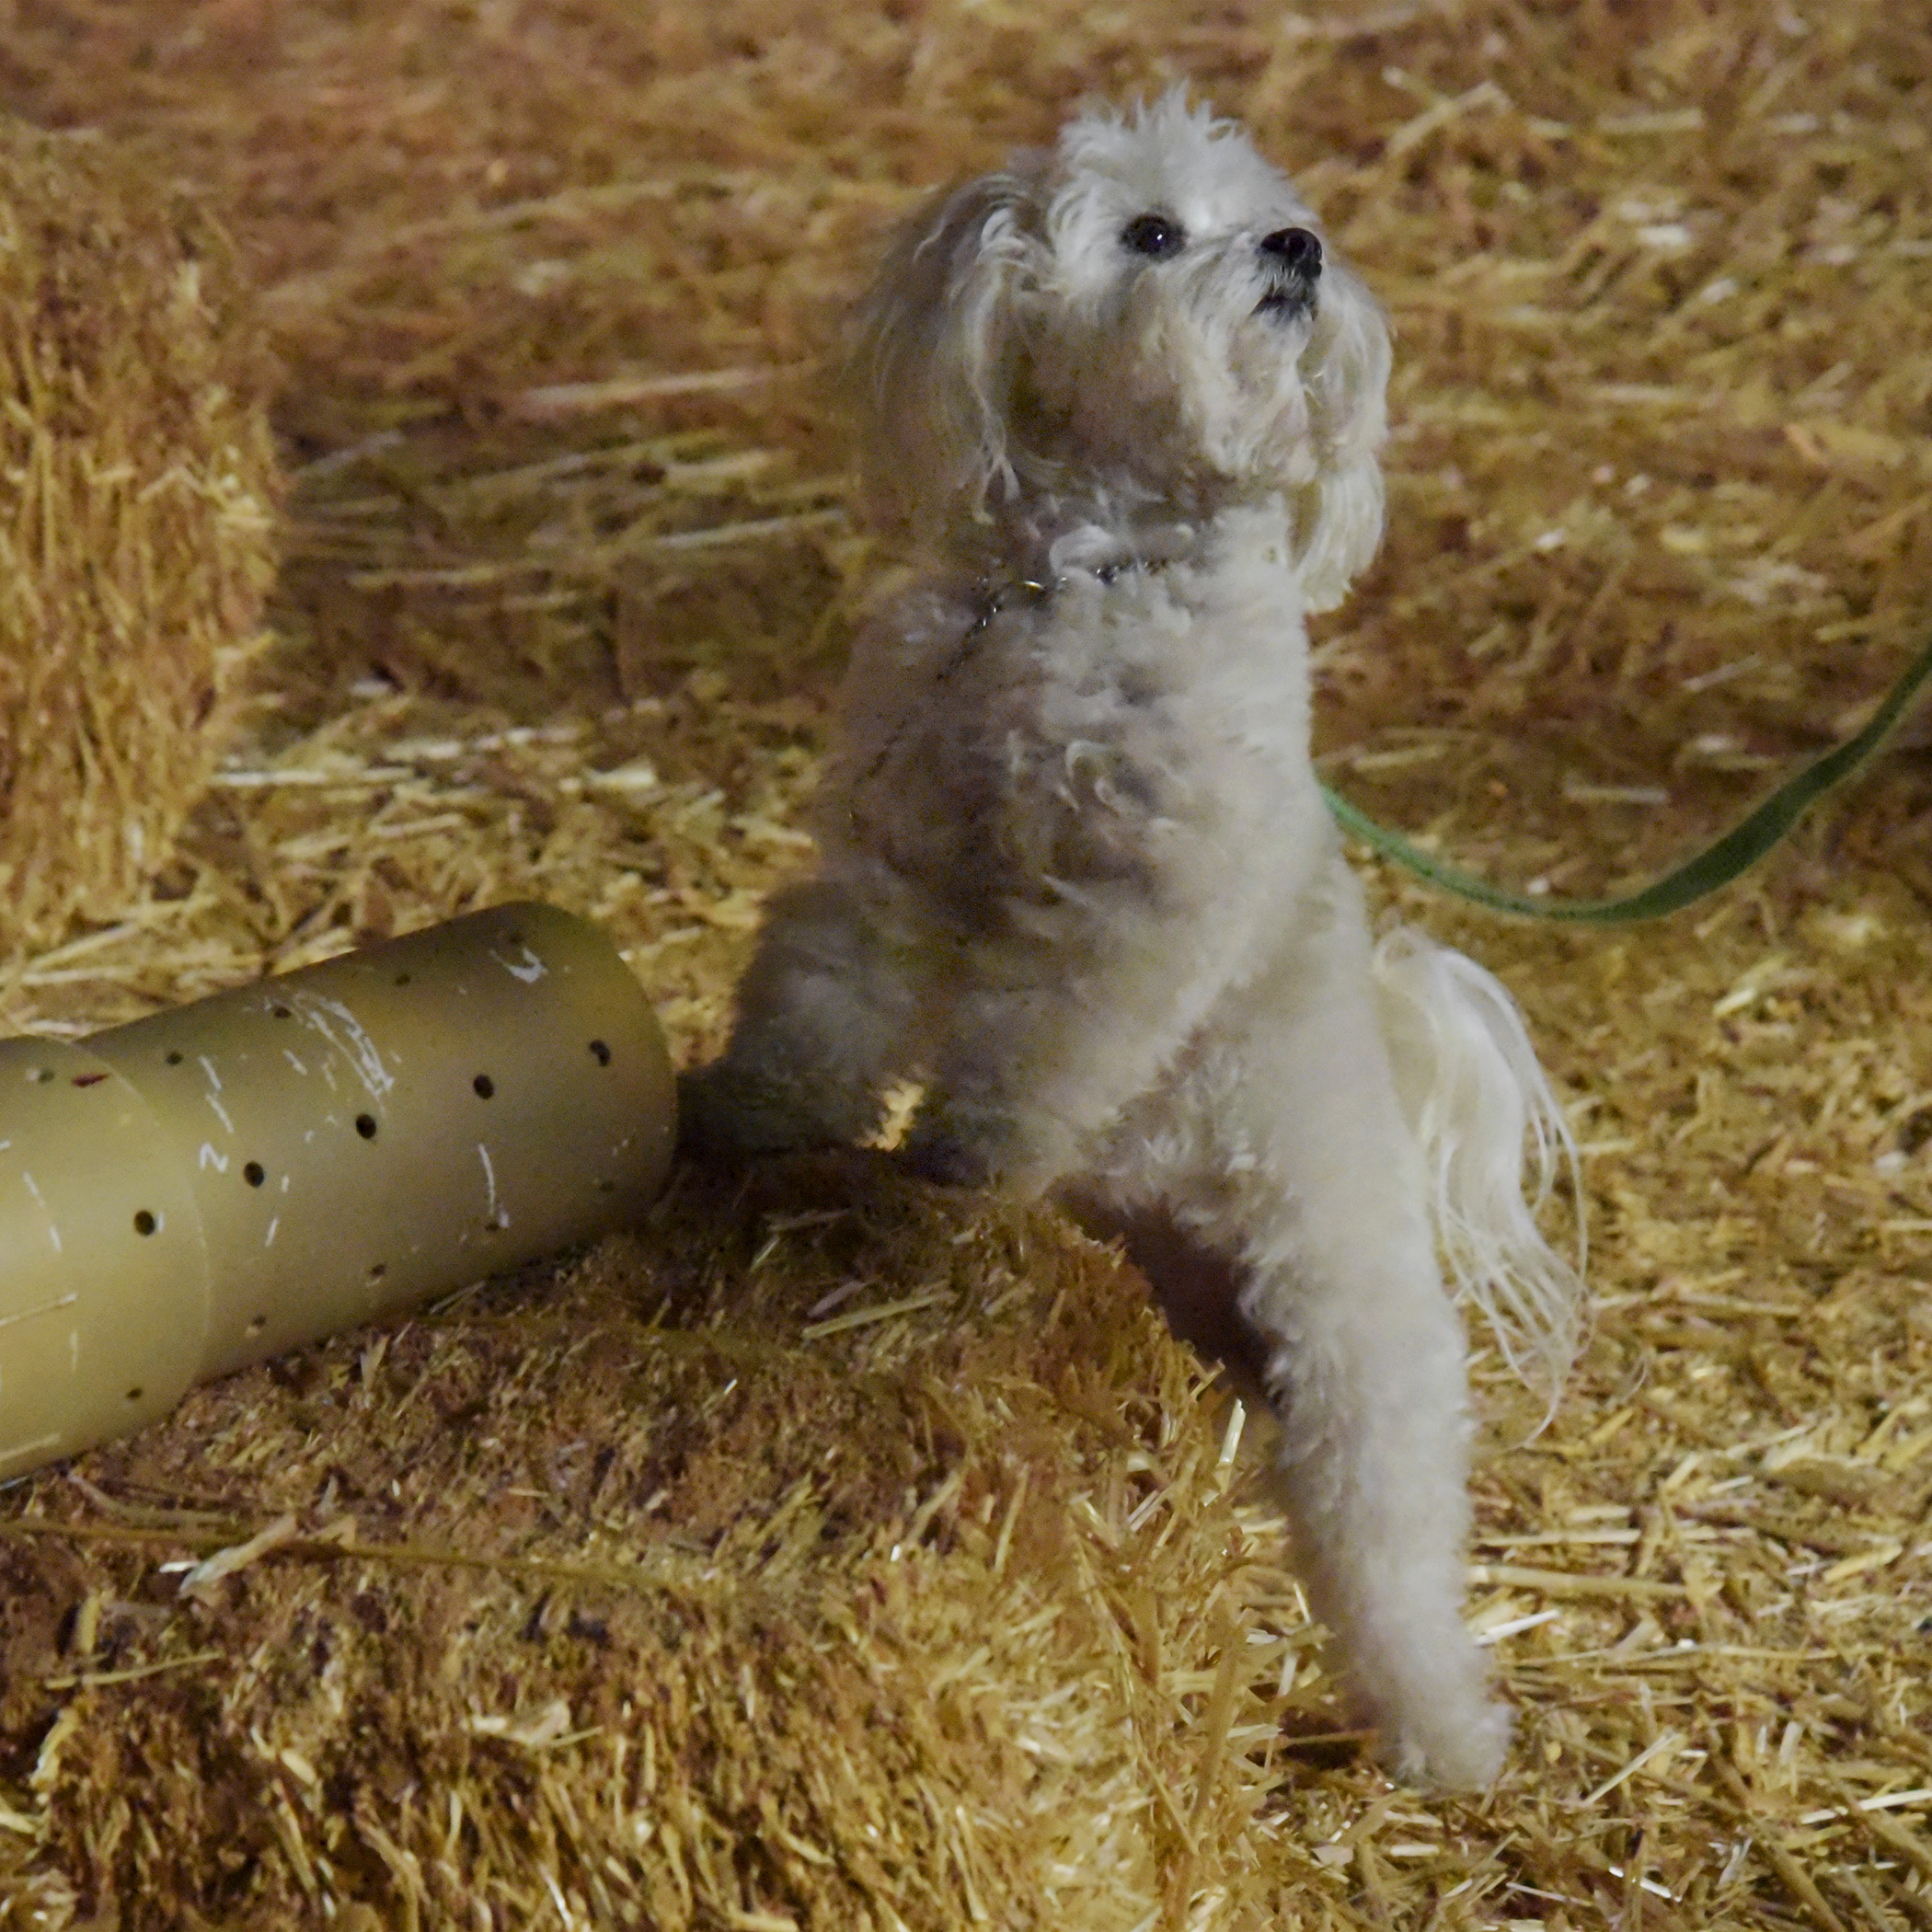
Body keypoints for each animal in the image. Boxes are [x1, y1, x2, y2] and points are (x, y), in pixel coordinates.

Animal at [687, 86, 1576, 1777]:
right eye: (1155, 231)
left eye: (1283, 217)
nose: (1298, 252)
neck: (1090, 583)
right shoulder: (896, 847)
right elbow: (826, 997)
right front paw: (757, 1111)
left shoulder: (1143, 909)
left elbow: (1044, 1044)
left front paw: (962, 1166)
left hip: (1361, 1379)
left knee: (1394, 1572)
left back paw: (1447, 1742)